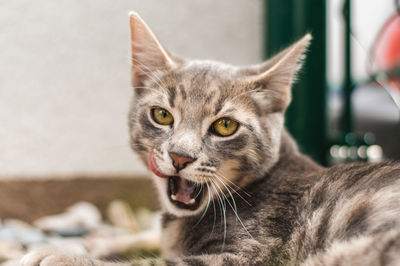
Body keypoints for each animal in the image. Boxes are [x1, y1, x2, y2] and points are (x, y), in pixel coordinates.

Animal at [21, 10, 400, 266]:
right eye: (162, 116)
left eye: (225, 126)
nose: (180, 156)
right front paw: (104, 242)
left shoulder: (248, 253)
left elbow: (154, 263)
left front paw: (59, 255)